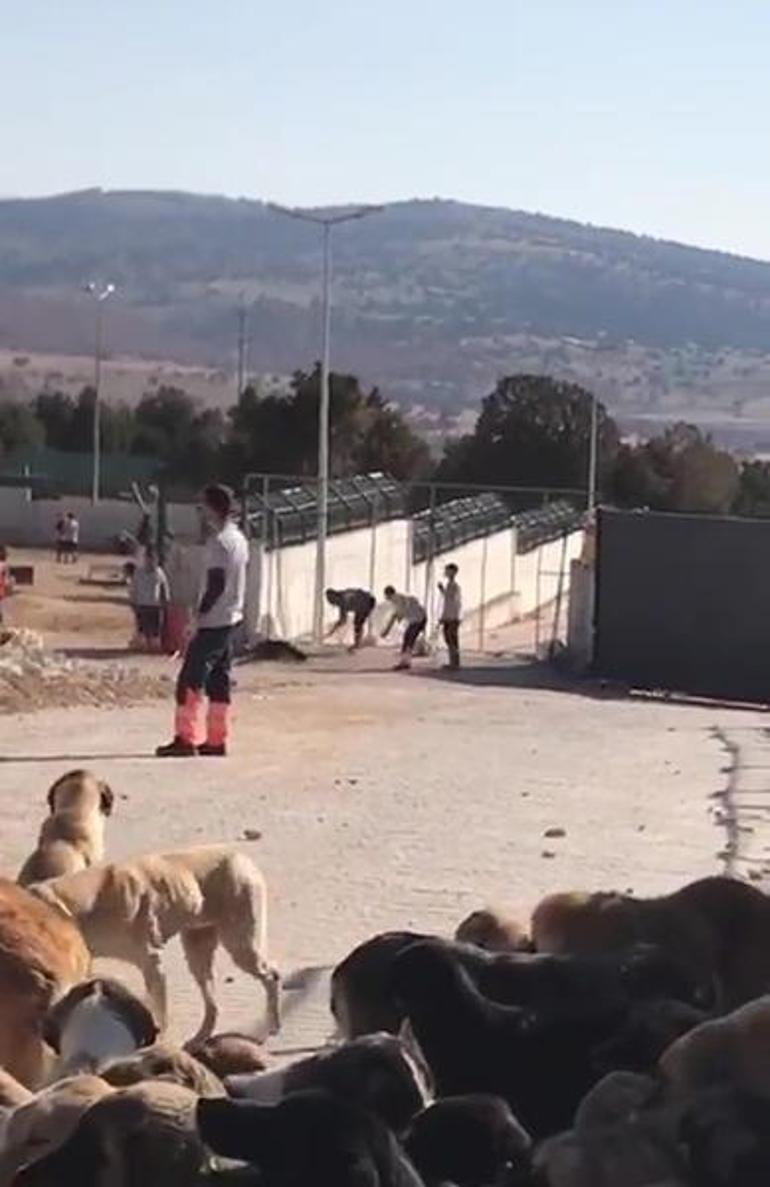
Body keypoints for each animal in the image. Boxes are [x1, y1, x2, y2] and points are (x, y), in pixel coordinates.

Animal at [31, 845, 282, 1049]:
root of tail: (243, 858)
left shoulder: (152, 964)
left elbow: (159, 1015)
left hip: (241, 946)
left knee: (272, 977)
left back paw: (270, 1027)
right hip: (198, 952)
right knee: (212, 1004)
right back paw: (200, 1038)